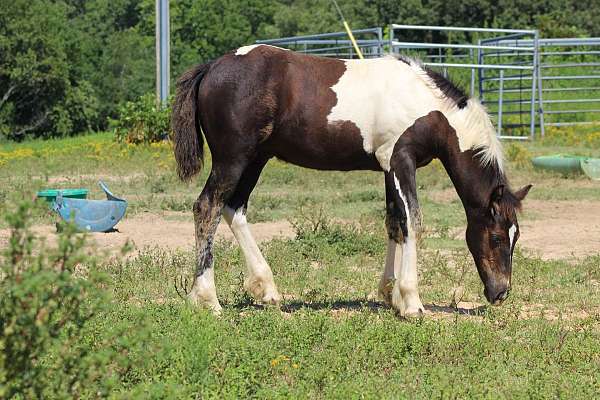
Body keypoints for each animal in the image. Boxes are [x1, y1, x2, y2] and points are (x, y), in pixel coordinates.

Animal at [171, 43, 532, 318]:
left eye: (516, 236)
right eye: (496, 237)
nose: (501, 292)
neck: (427, 108)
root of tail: (211, 67)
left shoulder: (388, 167)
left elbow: (394, 223)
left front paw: (390, 295)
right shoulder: (401, 160)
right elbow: (413, 223)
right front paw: (412, 302)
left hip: (256, 159)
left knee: (233, 209)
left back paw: (266, 290)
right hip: (233, 159)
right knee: (207, 207)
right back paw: (208, 299)